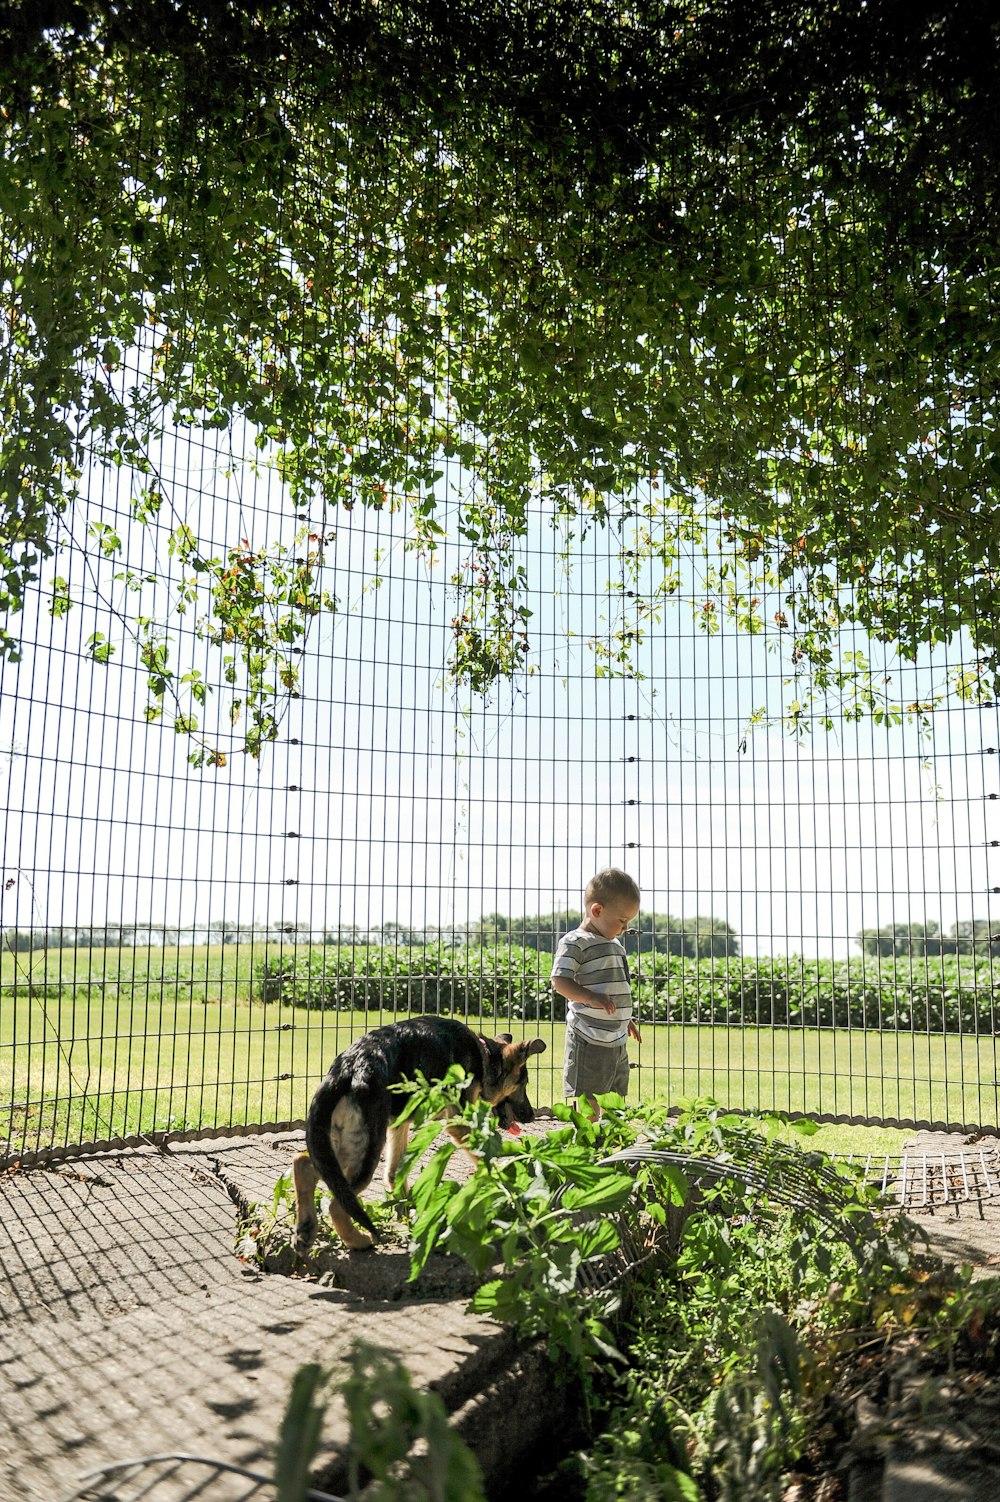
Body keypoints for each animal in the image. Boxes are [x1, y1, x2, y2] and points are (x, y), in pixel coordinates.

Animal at [294, 1015, 546, 1249]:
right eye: (523, 1084)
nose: (531, 1116)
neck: (484, 1055)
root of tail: (346, 1067)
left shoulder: (399, 1124)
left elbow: (394, 1173)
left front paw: (408, 1215)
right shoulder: (457, 1121)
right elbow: (485, 1158)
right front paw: (506, 1186)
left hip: (341, 1141)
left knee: (304, 1163)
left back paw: (306, 1230)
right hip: (366, 1146)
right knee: (335, 1202)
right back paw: (358, 1241)